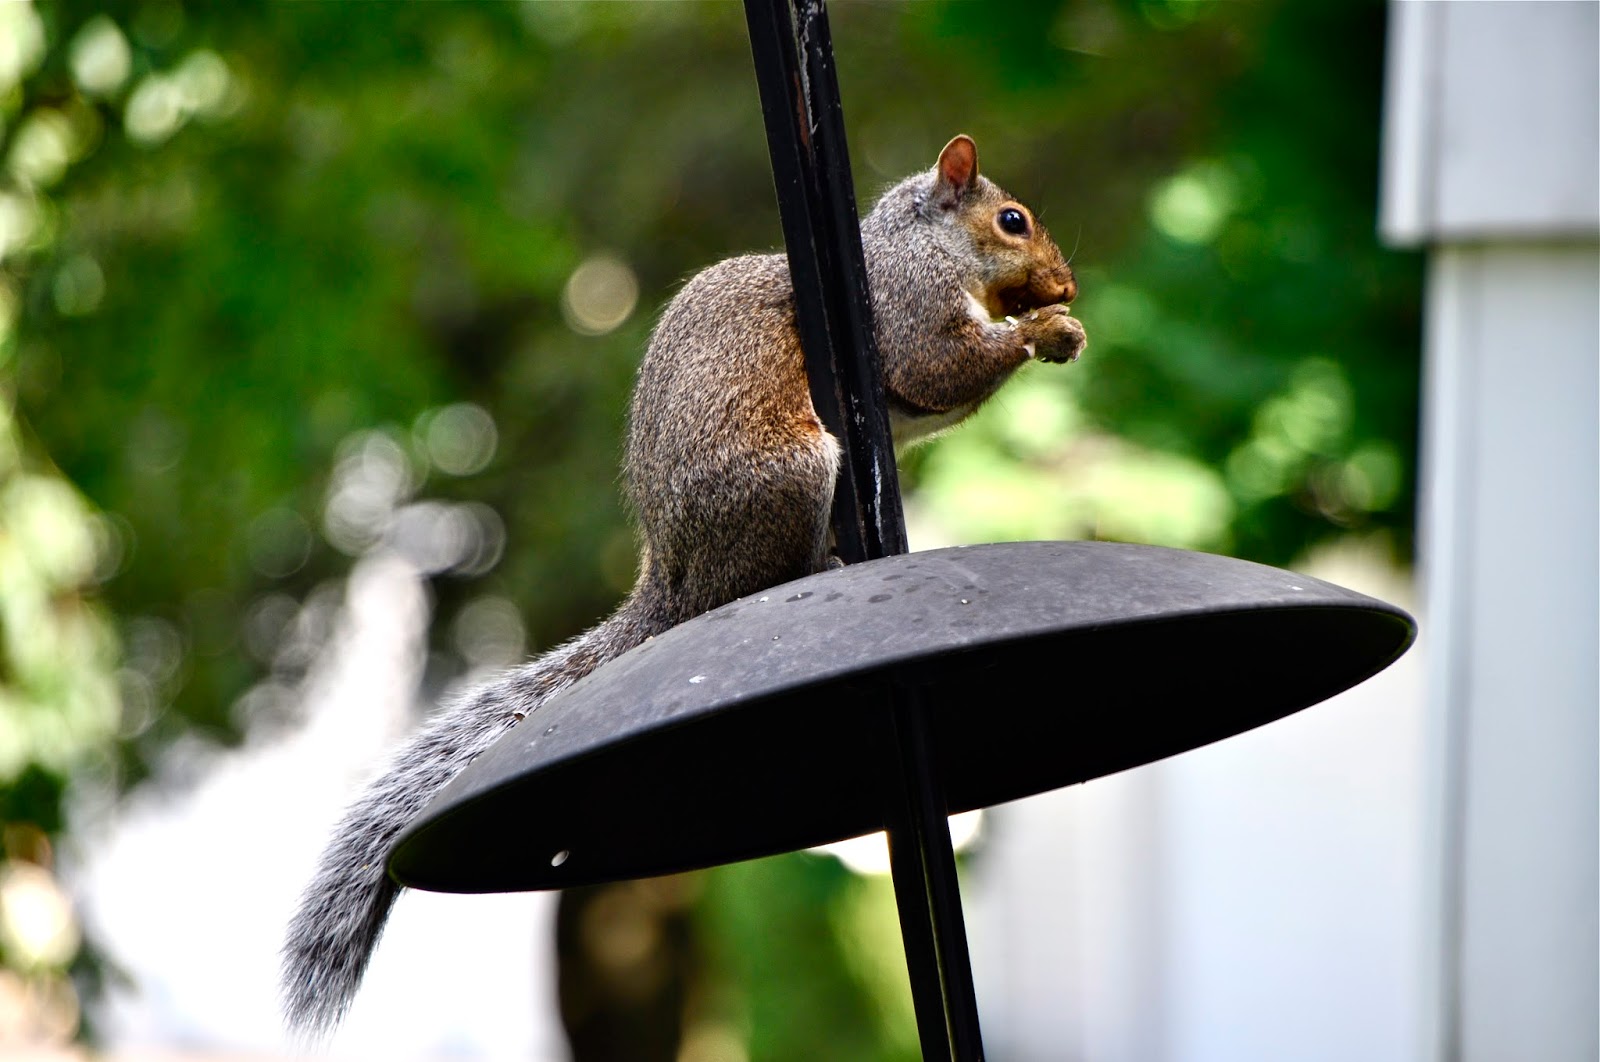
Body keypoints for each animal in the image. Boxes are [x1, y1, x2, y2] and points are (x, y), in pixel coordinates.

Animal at [281, 133, 1085, 1035]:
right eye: (1011, 220)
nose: (1065, 285)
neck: (921, 245)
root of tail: (675, 584)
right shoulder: (903, 307)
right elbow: (938, 367)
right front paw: (1040, 329)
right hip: (794, 471)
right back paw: (821, 567)